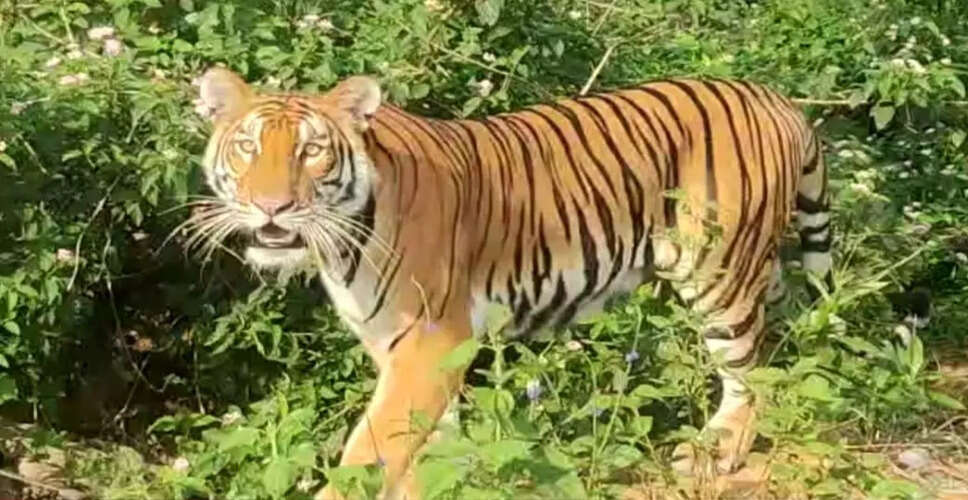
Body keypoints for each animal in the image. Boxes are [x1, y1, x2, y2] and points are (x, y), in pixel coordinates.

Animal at [189, 67, 833, 499]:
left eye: (312, 151)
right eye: (247, 148)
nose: (270, 207)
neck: (340, 244)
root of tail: (775, 97)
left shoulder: (431, 339)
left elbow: (374, 446)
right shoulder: (398, 344)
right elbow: (426, 442)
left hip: (718, 269)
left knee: (749, 369)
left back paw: (717, 451)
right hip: (753, 267)